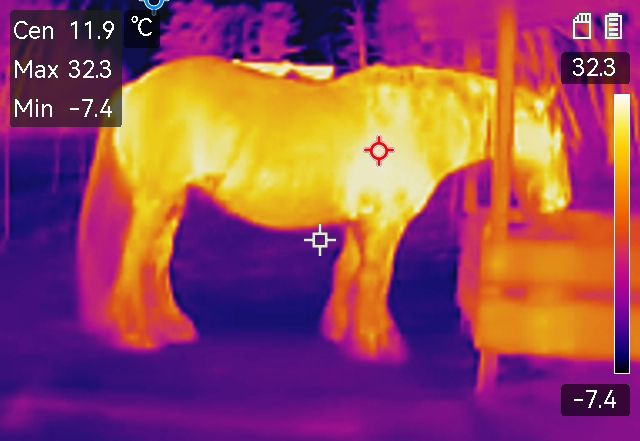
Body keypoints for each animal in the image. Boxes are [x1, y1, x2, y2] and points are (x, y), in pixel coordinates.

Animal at [77, 56, 572, 361]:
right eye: (557, 140)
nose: (558, 203)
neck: (413, 123)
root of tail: (135, 88)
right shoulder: (385, 223)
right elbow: (375, 279)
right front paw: (374, 342)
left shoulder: (362, 221)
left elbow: (348, 271)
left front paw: (342, 331)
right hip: (156, 199)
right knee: (132, 260)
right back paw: (135, 333)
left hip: (173, 202)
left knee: (155, 261)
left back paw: (170, 326)